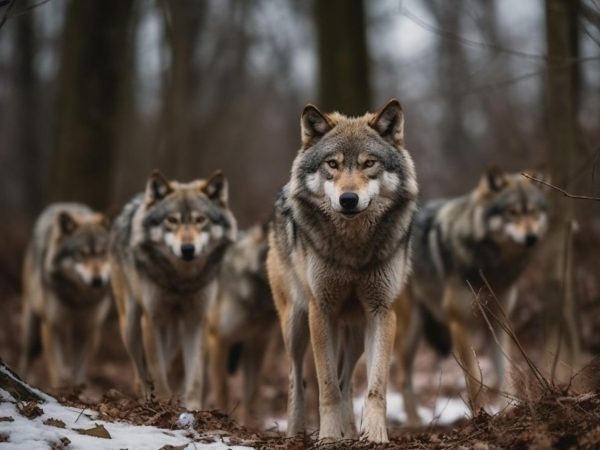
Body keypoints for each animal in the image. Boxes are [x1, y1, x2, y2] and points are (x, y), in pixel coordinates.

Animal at [109, 171, 236, 410]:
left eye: (200, 220)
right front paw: (162, 402)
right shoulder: (152, 320)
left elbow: (195, 376)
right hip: (131, 325)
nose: (187, 249)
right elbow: (157, 371)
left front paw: (193, 408)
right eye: (172, 220)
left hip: (174, 333)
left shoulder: (196, 321)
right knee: (140, 368)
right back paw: (145, 395)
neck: (181, 280)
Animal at [268, 99, 418, 442]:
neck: (354, 249)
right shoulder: (321, 310)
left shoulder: (381, 311)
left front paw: (374, 435)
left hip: (355, 331)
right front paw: (328, 437)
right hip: (296, 324)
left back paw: (351, 431)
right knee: (298, 378)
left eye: (369, 163)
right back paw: (296, 433)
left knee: (346, 379)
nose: (348, 199)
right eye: (333, 164)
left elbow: (375, 387)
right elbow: (326, 388)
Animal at [398, 170, 548, 426]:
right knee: (397, 372)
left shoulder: (499, 323)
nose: (531, 238)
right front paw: (481, 416)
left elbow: (504, 371)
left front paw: (510, 411)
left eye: (533, 212)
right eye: (512, 213)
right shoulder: (459, 323)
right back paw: (414, 422)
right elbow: (474, 378)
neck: (490, 265)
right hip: (410, 330)